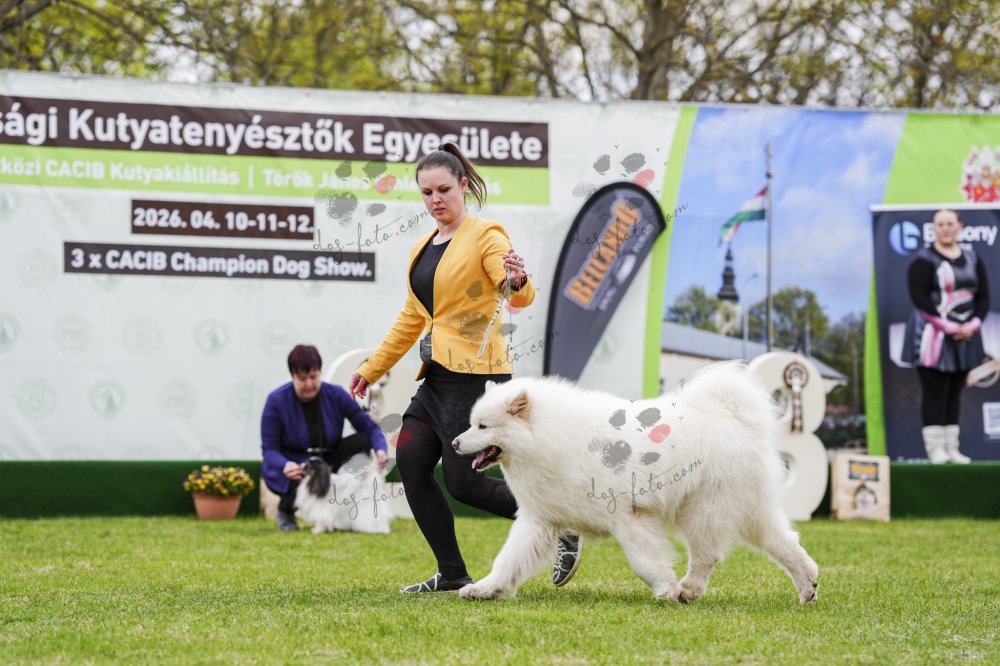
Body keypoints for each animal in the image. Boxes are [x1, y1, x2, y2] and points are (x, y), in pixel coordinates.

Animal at [451, 362, 819, 603]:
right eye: (472, 424)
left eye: (483, 427)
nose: (454, 443)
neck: (547, 437)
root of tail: (730, 416)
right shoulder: (540, 519)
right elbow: (508, 560)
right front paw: (485, 589)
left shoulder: (628, 518)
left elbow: (644, 562)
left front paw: (666, 589)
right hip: (748, 511)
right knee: (786, 544)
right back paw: (808, 586)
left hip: (702, 511)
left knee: (707, 555)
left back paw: (687, 589)